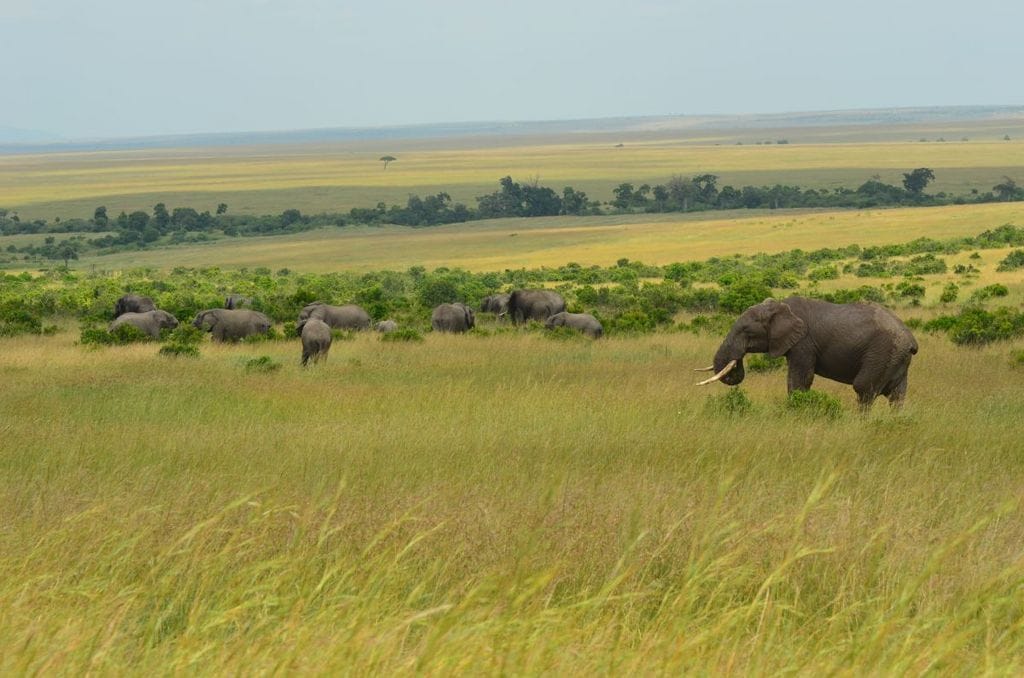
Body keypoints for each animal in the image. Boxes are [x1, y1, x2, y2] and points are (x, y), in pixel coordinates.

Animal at [696, 297, 921, 411]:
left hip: (883, 352)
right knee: (897, 396)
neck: (780, 306)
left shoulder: (803, 343)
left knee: (864, 389)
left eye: (746, 331)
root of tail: (911, 340)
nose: (737, 362)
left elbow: (800, 379)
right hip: (896, 358)